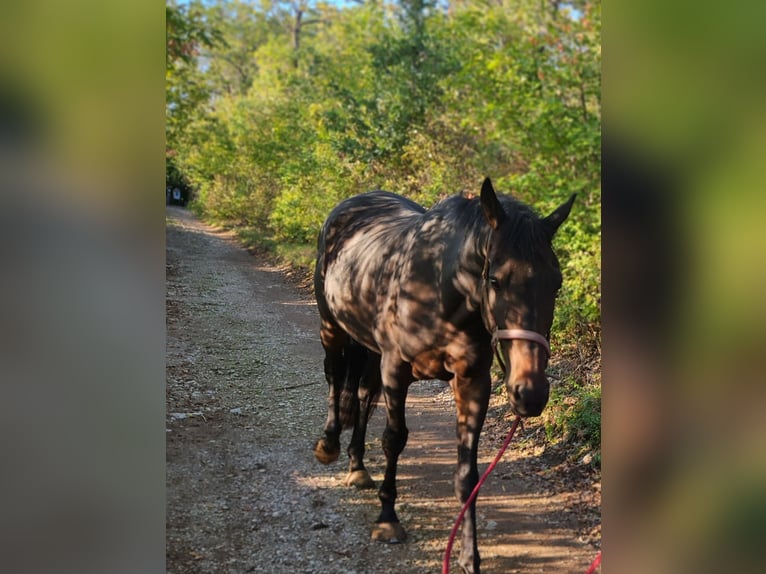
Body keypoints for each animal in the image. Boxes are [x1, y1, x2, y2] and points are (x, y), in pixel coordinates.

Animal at [314, 180, 576, 574]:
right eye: (496, 280)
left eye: (556, 284)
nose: (530, 393)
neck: (439, 290)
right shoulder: (395, 370)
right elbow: (394, 440)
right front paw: (388, 519)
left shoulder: (472, 381)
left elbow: (467, 474)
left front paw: (469, 556)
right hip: (332, 328)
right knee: (333, 376)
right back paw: (329, 445)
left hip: (368, 346)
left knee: (361, 395)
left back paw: (357, 466)